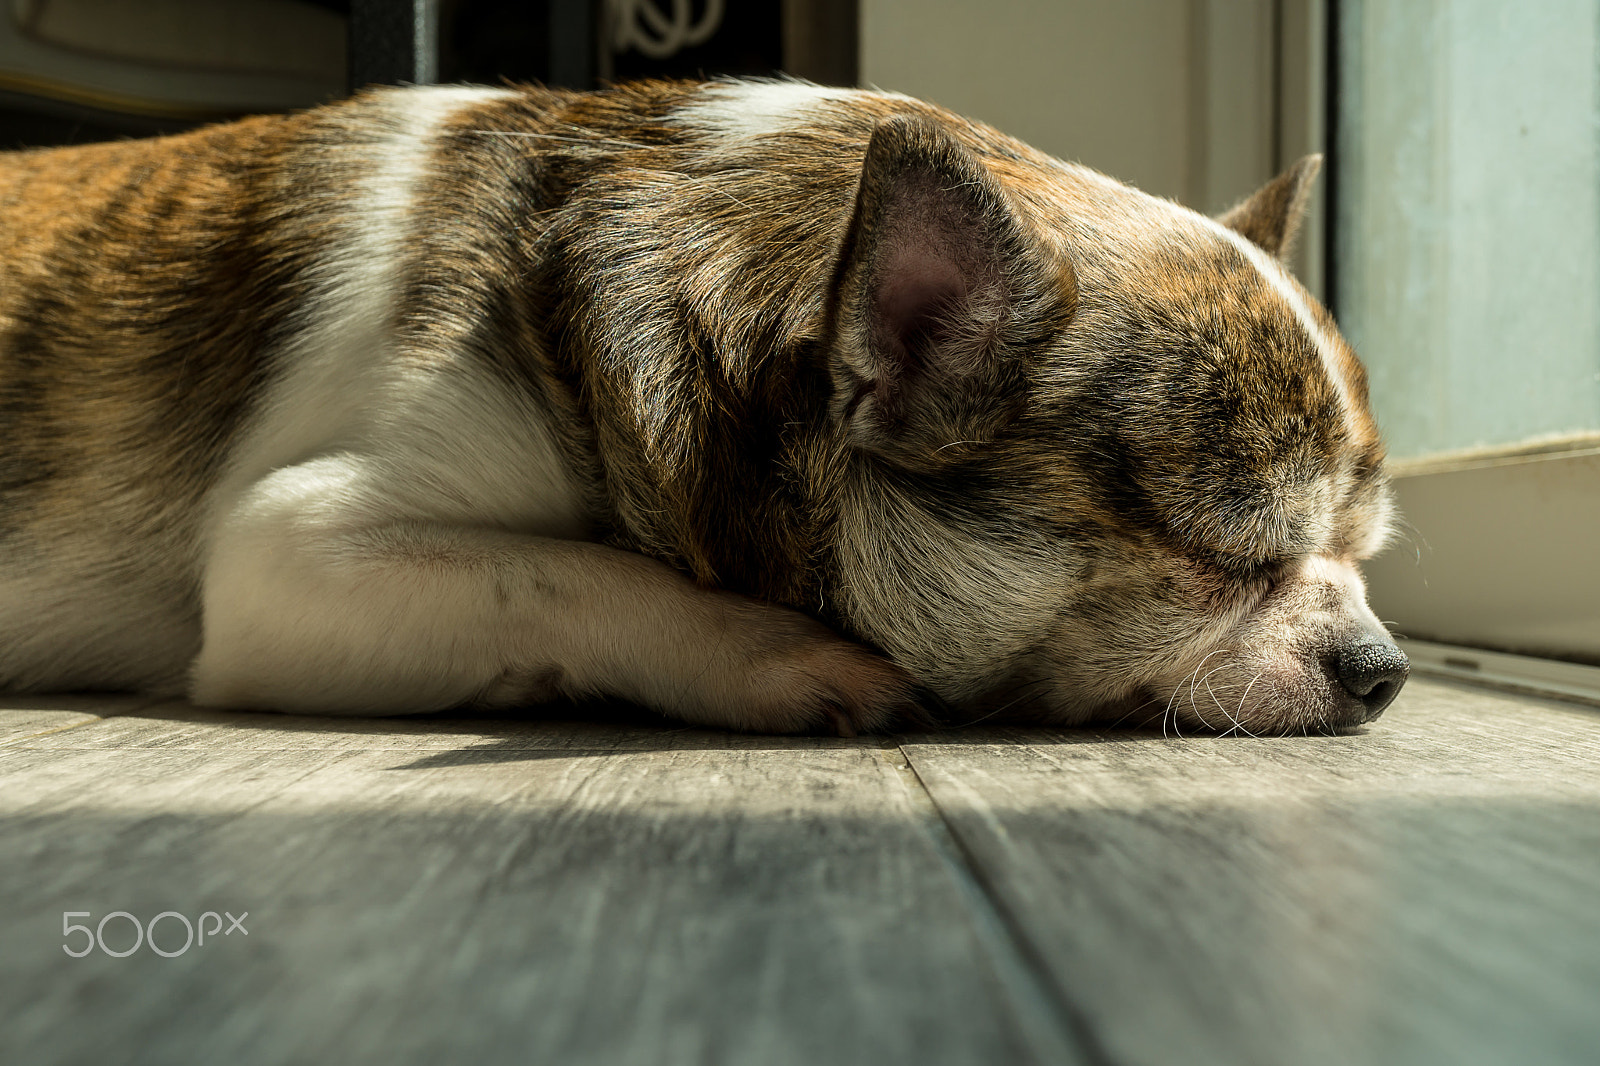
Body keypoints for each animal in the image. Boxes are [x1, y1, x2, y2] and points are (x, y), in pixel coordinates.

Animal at [0, 80, 1401, 729]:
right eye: (1221, 562)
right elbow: (568, 570)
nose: (1384, 667)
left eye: (1365, 555)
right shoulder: (290, 551)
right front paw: (779, 658)